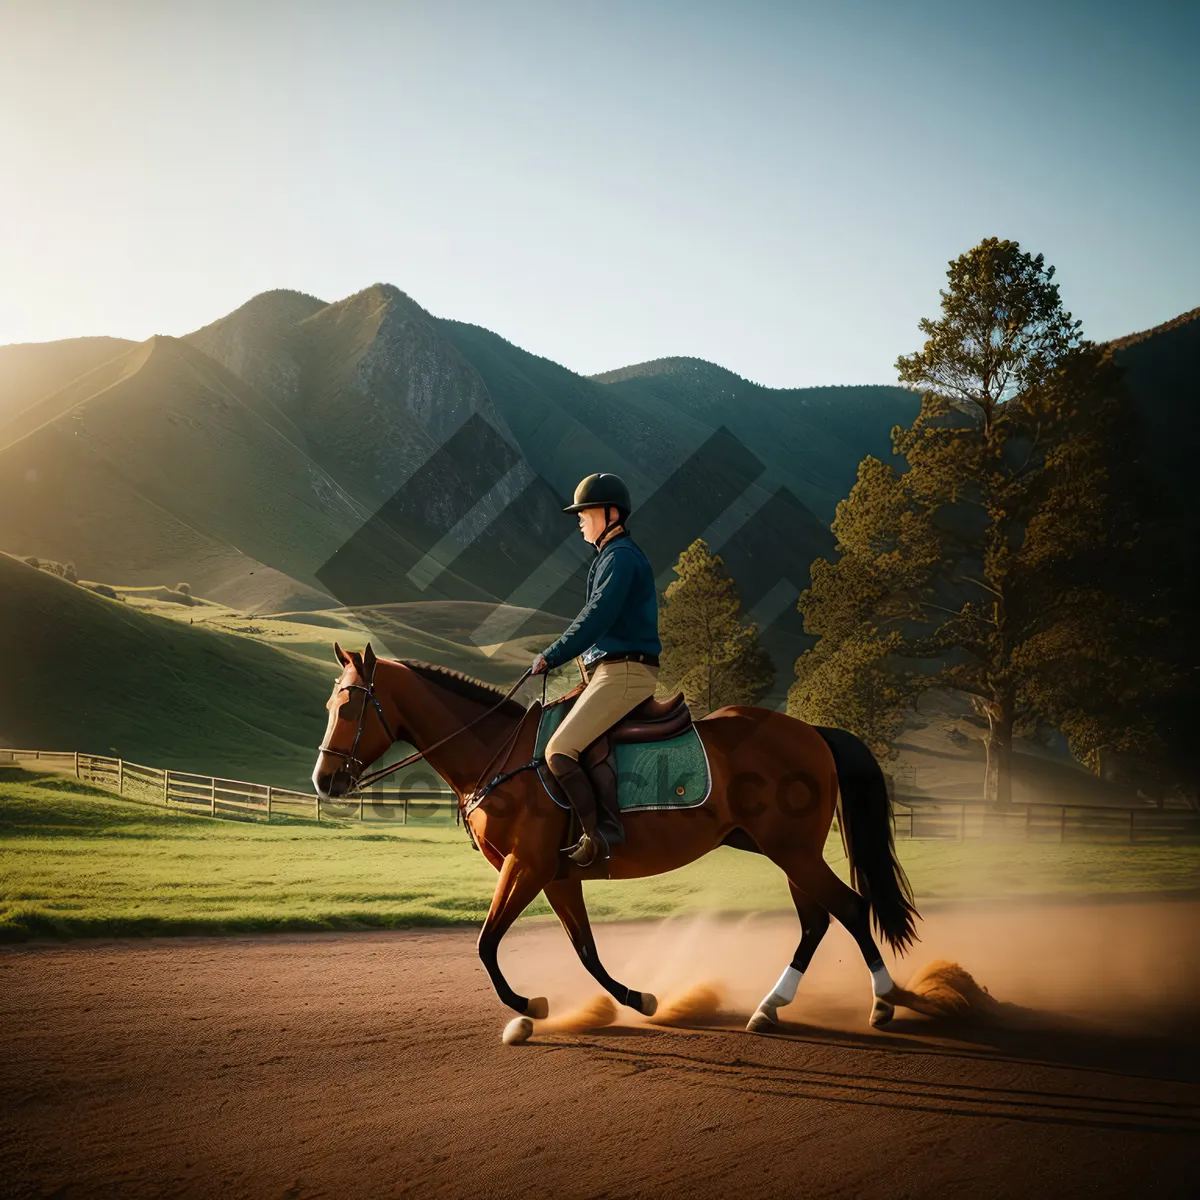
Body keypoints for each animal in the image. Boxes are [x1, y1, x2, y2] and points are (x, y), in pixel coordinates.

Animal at [312, 648, 916, 1032]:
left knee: (850, 908)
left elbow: (486, 944)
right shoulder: (554, 875)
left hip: (792, 850)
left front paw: (531, 1005)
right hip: (778, 849)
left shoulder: (525, 866)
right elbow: (585, 950)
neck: (501, 755)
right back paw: (771, 1007)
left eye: (349, 707)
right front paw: (638, 999)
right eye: (329, 706)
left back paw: (884, 1001)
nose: (324, 781)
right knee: (816, 921)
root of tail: (812, 732)